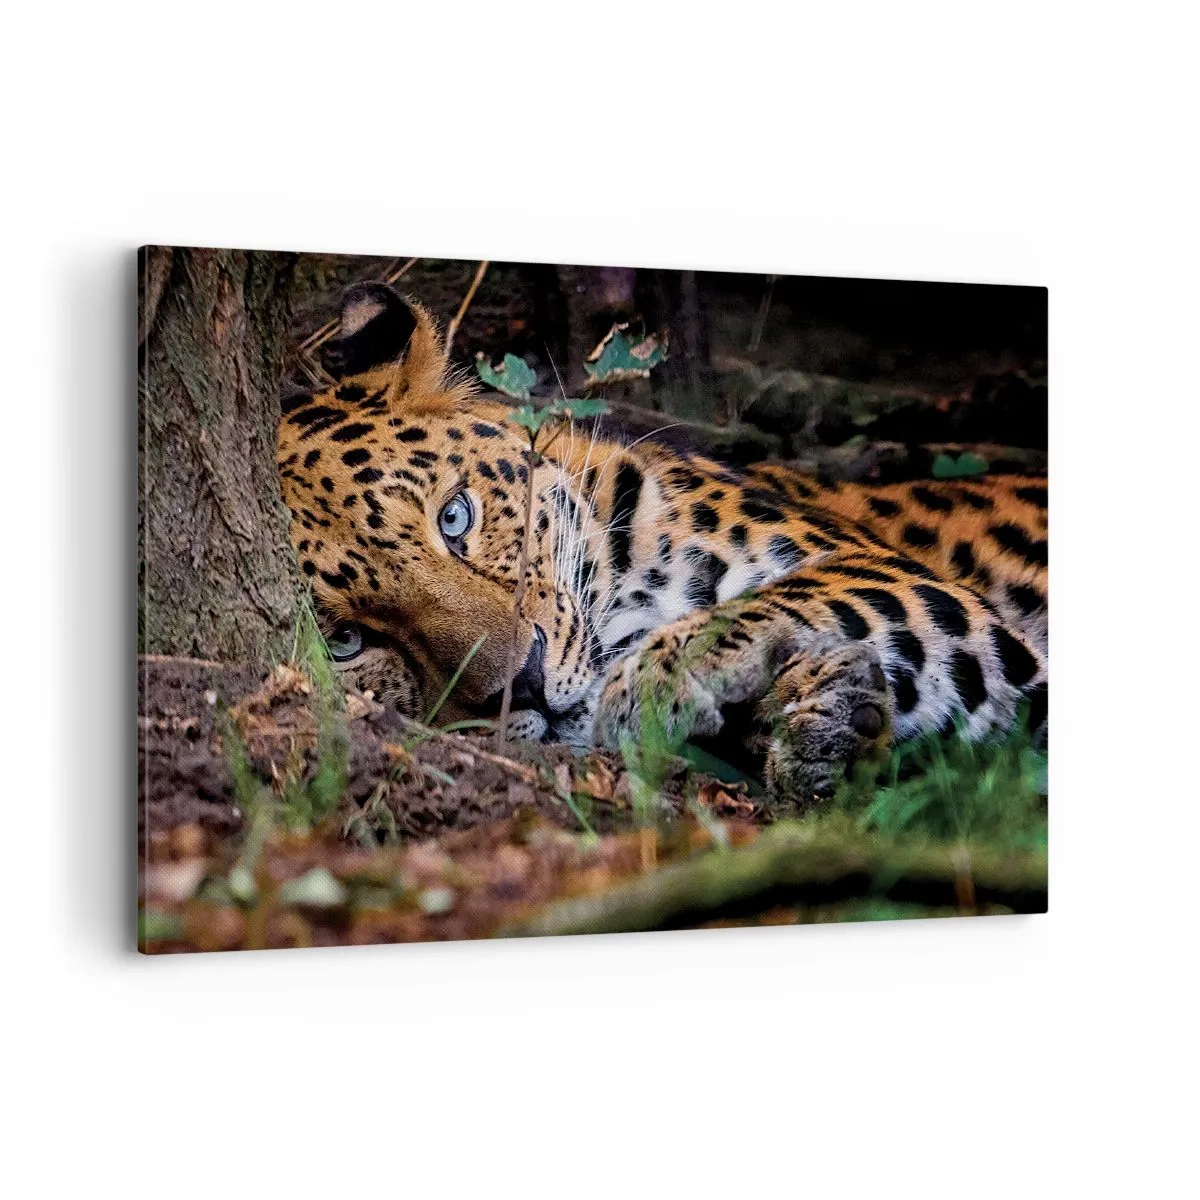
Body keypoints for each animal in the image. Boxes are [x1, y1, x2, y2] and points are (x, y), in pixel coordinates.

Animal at [277, 281, 1047, 804]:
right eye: (344, 643)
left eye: (456, 519)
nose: (524, 684)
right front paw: (832, 727)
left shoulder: (899, 576)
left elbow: (802, 590)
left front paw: (657, 677)